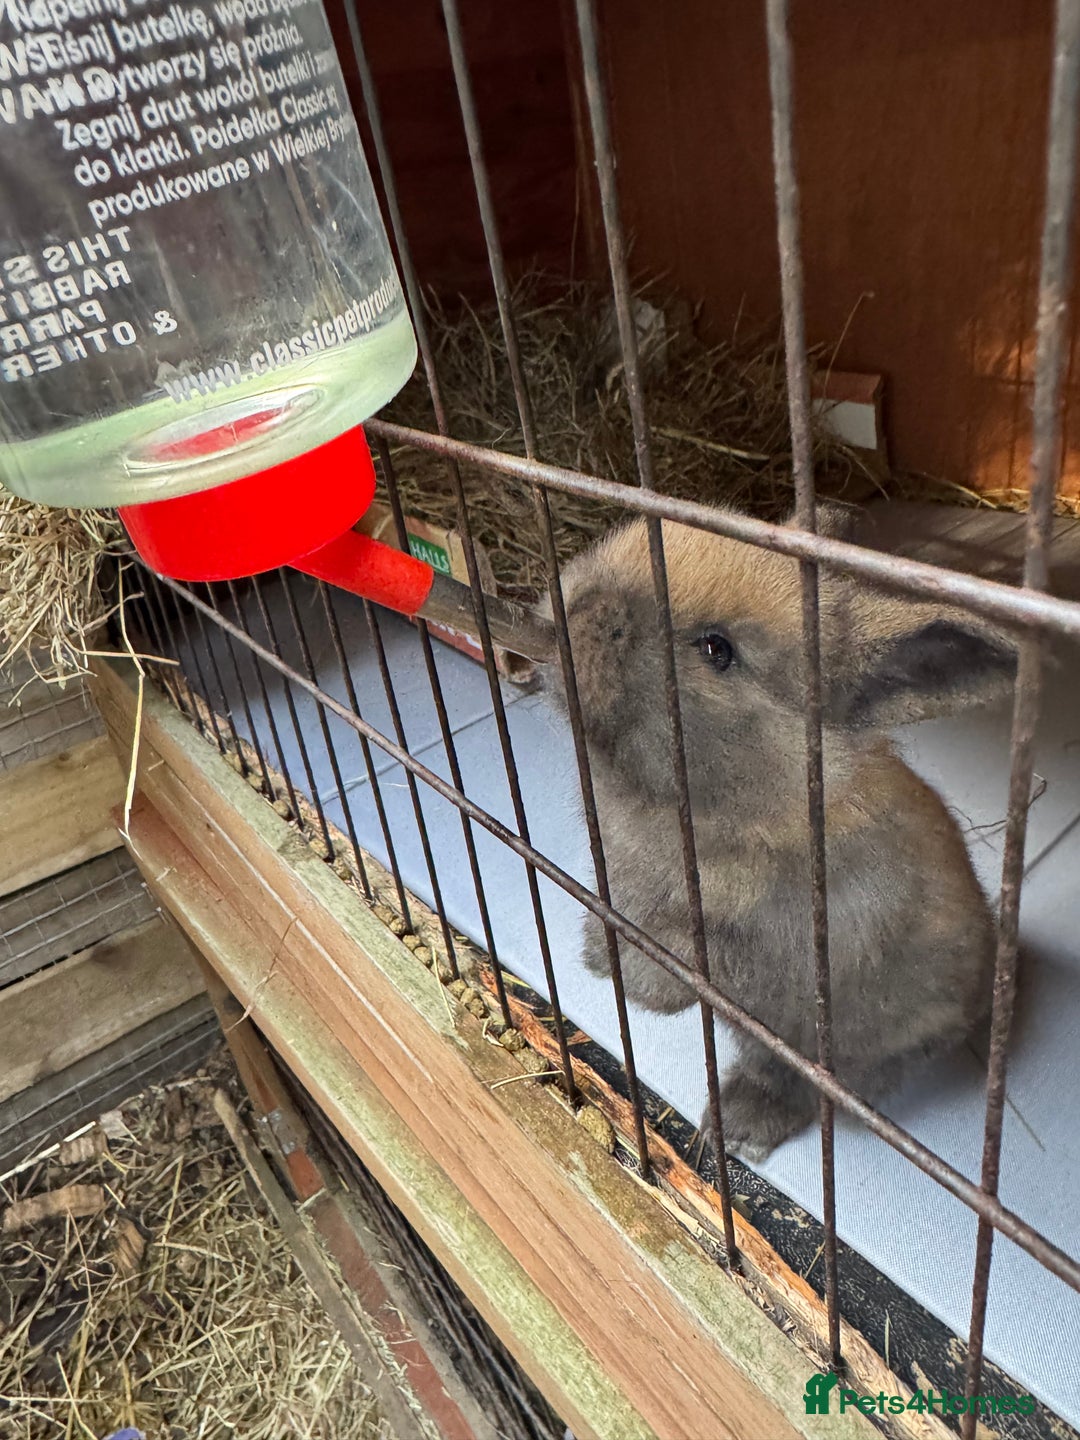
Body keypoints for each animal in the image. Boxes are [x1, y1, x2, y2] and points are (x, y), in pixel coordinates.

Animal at [540, 505, 1017, 1162]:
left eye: (717, 649)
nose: (577, 611)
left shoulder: (751, 952)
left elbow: (679, 961)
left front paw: (631, 982)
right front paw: (594, 952)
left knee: (797, 1081)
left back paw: (737, 1129)